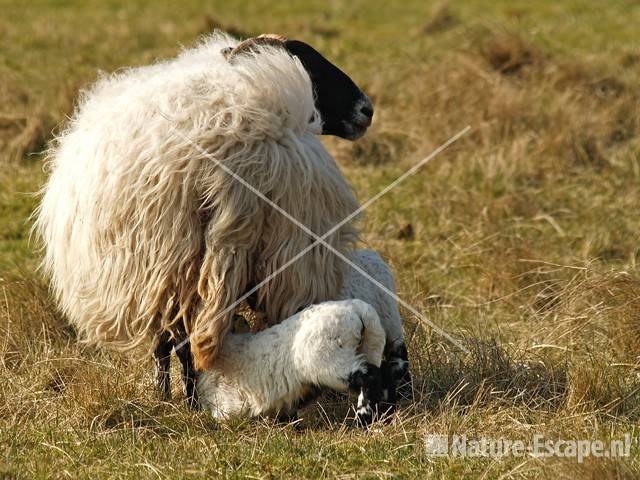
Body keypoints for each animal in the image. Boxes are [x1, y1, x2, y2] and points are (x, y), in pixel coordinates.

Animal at [33, 31, 376, 402]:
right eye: (308, 66)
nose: (367, 110)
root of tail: (241, 168)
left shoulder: (157, 276)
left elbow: (163, 343)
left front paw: (166, 394)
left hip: (181, 265)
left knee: (182, 341)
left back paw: (191, 399)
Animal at [198, 249, 412, 422]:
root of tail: (359, 310)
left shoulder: (229, 404)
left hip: (333, 362)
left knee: (370, 375)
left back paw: (363, 418)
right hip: (375, 339)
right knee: (389, 370)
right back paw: (386, 413)